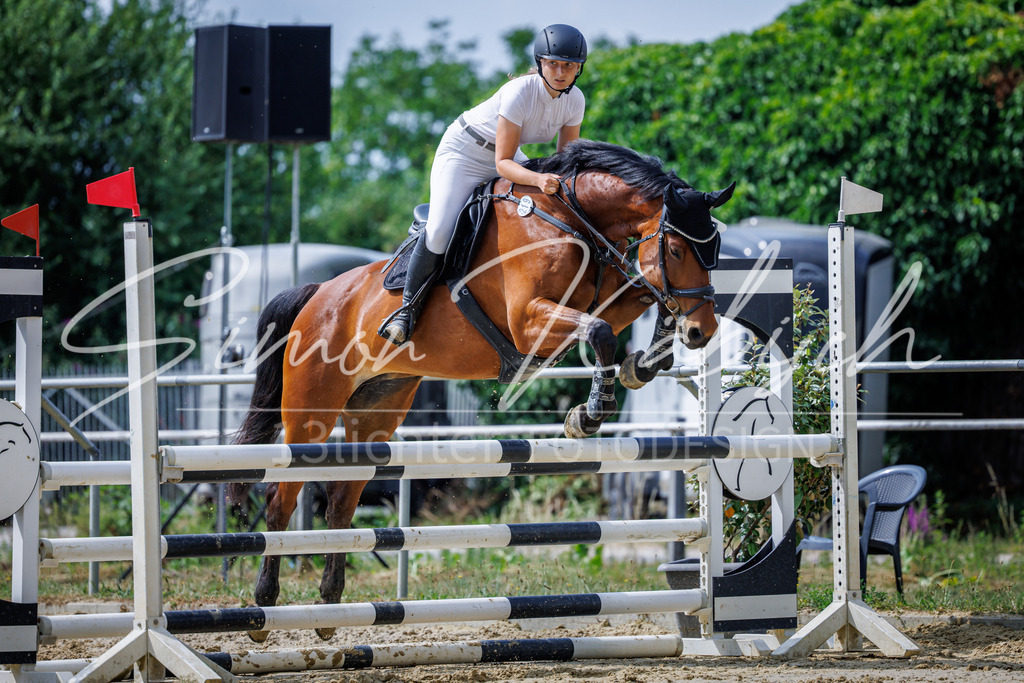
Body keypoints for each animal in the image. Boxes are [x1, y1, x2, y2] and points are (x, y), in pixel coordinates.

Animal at [231, 139, 734, 641]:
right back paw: (263, 608)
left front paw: (645, 364)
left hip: (376, 411)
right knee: (280, 501)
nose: (703, 332)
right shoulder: (529, 321)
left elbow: (640, 298)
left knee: (339, 505)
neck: (569, 219)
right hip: (312, 413)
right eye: (675, 248)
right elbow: (602, 331)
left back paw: (330, 607)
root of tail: (316, 295)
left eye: (713, 250)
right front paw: (589, 413)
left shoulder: (600, 297)